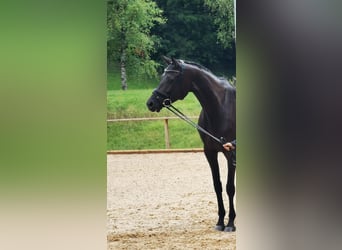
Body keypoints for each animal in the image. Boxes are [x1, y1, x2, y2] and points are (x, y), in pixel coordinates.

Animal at [146, 56, 236, 232]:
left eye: (171, 78)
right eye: (162, 76)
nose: (151, 103)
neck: (220, 107)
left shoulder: (230, 153)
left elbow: (230, 187)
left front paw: (230, 223)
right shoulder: (210, 152)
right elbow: (217, 185)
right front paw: (220, 221)